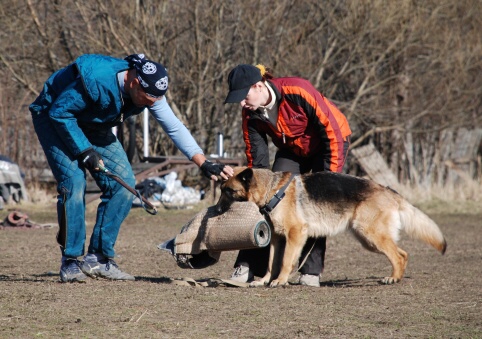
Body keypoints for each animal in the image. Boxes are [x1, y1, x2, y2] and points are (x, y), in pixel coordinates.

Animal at [217, 167, 446, 286]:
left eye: (228, 191)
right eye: (221, 189)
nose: (216, 209)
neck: (272, 190)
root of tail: (388, 190)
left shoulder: (295, 235)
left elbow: (285, 262)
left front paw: (280, 280)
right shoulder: (277, 239)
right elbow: (272, 262)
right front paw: (264, 280)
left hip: (371, 235)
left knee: (398, 256)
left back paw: (393, 278)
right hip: (368, 240)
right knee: (403, 253)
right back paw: (397, 277)